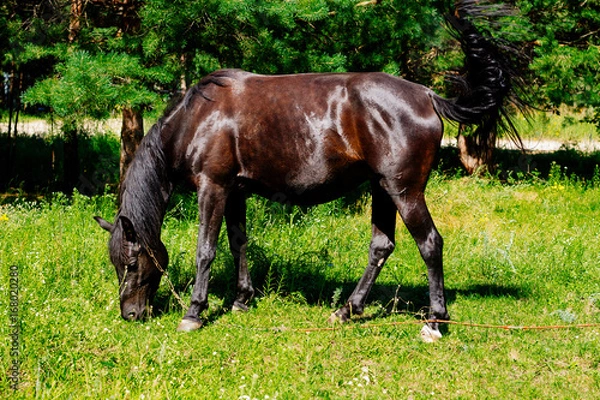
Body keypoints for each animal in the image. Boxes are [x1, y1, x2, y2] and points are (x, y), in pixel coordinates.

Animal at [94, 1, 524, 342]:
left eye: (130, 263)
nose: (130, 314)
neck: (196, 118)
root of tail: (428, 95)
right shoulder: (235, 190)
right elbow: (239, 243)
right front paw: (241, 300)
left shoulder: (212, 188)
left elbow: (207, 249)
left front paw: (194, 312)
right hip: (382, 189)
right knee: (381, 246)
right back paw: (348, 310)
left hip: (405, 191)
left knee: (430, 244)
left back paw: (435, 322)